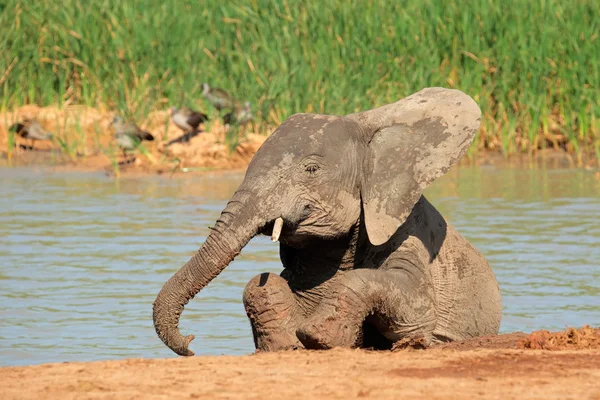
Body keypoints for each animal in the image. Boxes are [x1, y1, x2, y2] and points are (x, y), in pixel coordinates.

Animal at [151, 87, 502, 356]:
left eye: (311, 170)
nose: (191, 343)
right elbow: (262, 285)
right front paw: (286, 342)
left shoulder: (409, 234)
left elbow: (416, 307)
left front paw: (323, 337)